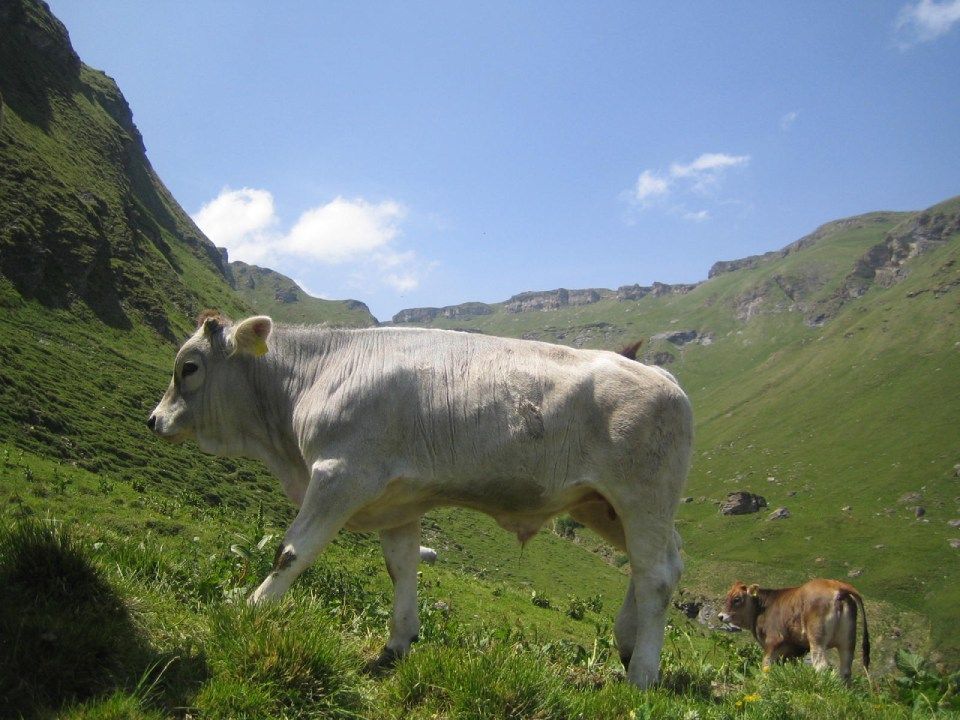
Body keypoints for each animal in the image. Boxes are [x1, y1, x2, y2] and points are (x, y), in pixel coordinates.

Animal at [147, 313, 693, 687]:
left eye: (188, 368)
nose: (153, 420)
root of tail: (663, 377)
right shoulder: (397, 501)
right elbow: (401, 566)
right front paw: (398, 642)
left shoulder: (338, 476)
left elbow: (291, 552)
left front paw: (249, 610)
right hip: (602, 505)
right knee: (654, 564)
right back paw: (628, 643)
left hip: (641, 497)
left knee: (657, 575)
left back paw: (642, 675)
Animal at [718, 579, 870, 682]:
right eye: (727, 596)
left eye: (737, 599)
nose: (720, 616)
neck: (762, 608)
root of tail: (838, 587)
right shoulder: (792, 649)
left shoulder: (772, 642)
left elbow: (766, 666)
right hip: (848, 641)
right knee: (845, 670)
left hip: (817, 639)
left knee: (821, 666)